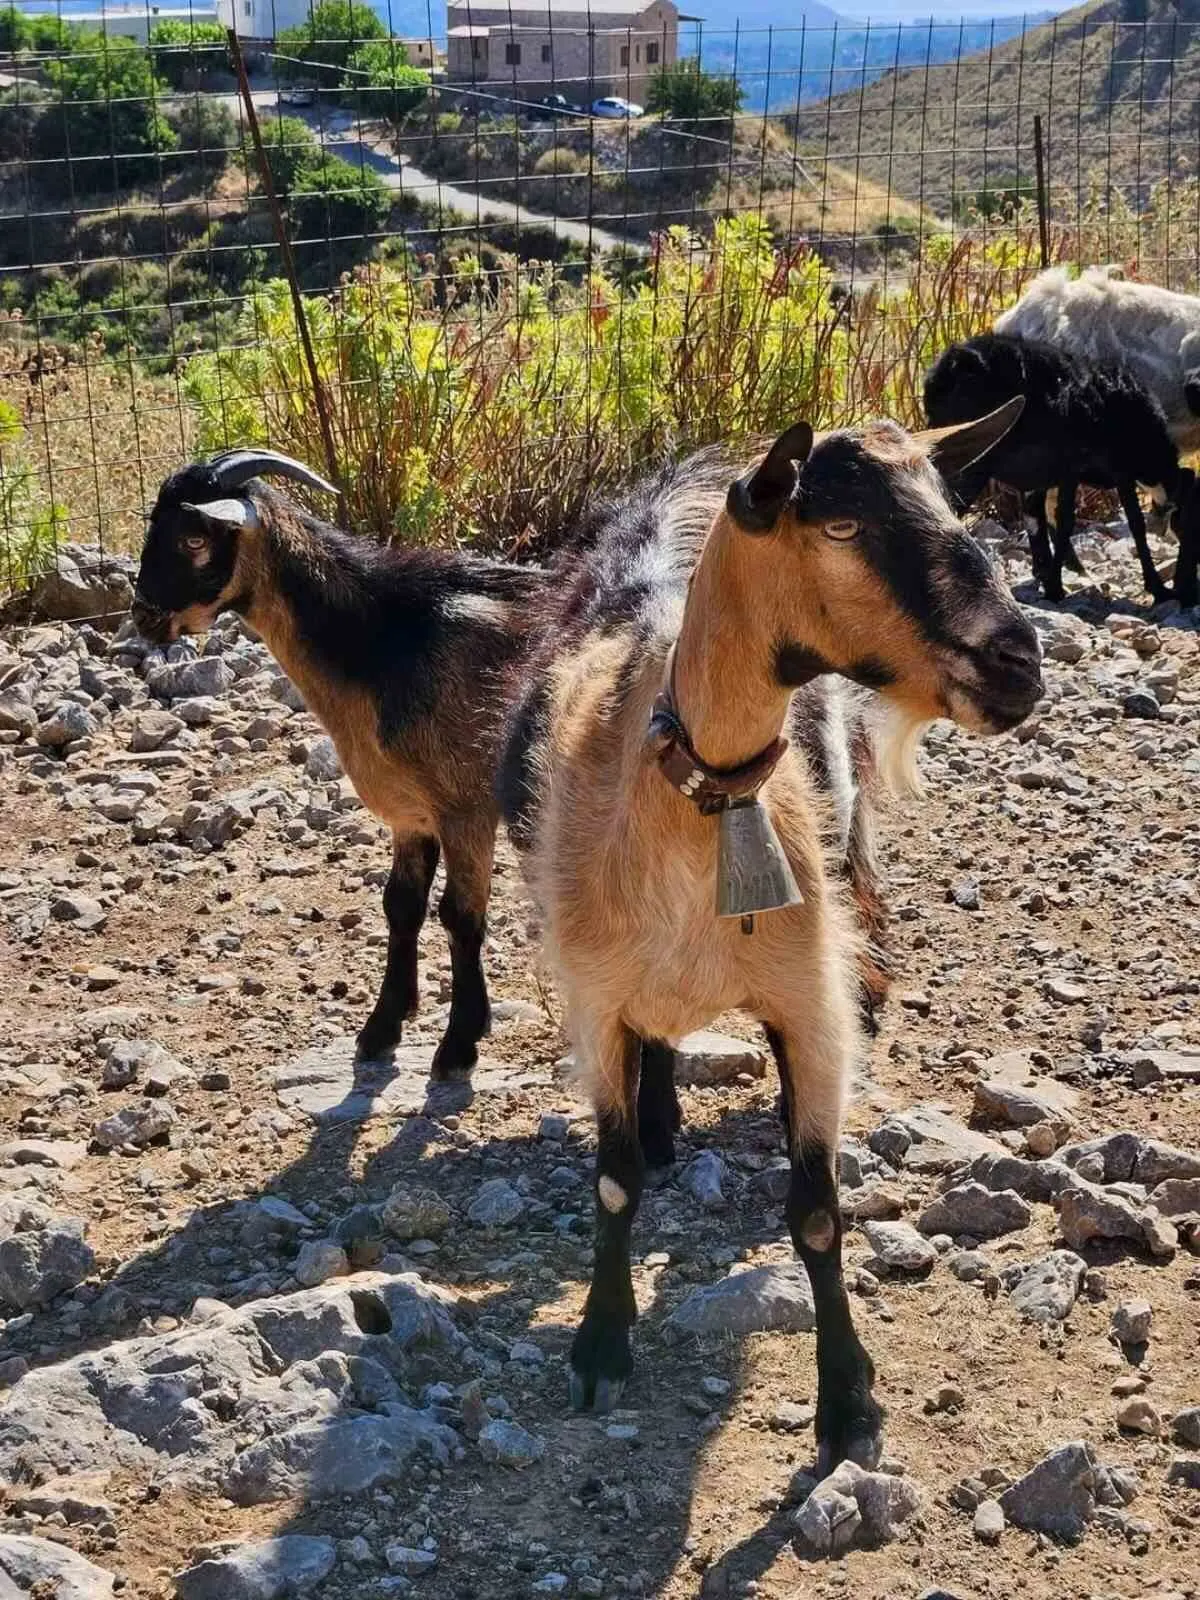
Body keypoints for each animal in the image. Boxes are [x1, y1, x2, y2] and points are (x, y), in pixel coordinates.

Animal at [133, 451, 547, 1075]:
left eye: (194, 537)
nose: (143, 617)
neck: (387, 643)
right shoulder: (410, 814)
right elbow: (401, 906)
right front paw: (382, 1027)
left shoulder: (466, 808)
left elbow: (460, 916)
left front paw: (459, 1043)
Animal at [499, 416, 1043, 1472]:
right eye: (838, 525)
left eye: (950, 503)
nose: (1020, 663)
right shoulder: (593, 1003)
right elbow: (614, 1184)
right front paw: (600, 1345)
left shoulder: (810, 1005)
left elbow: (818, 1212)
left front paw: (848, 1402)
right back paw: (662, 1118)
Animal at [928, 331, 1190, 601]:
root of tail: (956, 361)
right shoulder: (1098, 471)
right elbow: (1115, 523)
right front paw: (1156, 587)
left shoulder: (1047, 476)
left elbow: (1036, 519)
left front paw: (1047, 577)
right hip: (974, 458)